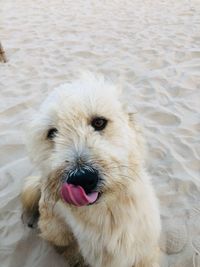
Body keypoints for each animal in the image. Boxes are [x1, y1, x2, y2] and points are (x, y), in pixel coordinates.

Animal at [21, 73, 161, 267]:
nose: (82, 178)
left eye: (99, 122)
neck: (109, 211)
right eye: (52, 133)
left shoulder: (145, 250)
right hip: (57, 229)